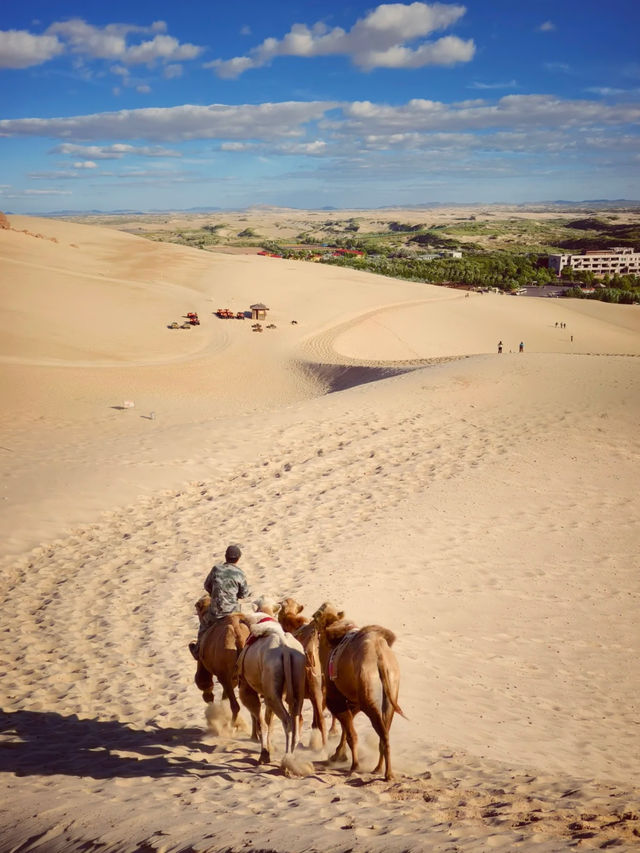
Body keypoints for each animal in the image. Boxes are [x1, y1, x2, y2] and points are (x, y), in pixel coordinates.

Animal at [191, 596, 249, 728]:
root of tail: (237, 634)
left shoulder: (203, 663)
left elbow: (204, 684)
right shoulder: (233, 677)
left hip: (224, 675)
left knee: (235, 705)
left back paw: (231, 726)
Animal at [238, 608, 308, 764]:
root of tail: (285, 648)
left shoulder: (247, 689)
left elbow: (262, 723)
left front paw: (264, 754)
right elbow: (268, 721)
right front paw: (268, 751)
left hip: (272, 675)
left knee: (287, 721)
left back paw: (286, 758)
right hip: (297, 675)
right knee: (296, 716)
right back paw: (292, 757)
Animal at [312, 600, 404, 780]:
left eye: (317, 615)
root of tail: (380, 657)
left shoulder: (336, 698)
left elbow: (350, 734)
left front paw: (353, 765)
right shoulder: (353, 700)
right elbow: (347, 728)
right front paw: (338, 756)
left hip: (369, 699)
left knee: (380, 732)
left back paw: (386, 773)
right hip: (389, 694)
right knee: (384, 732)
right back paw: (379, 769)